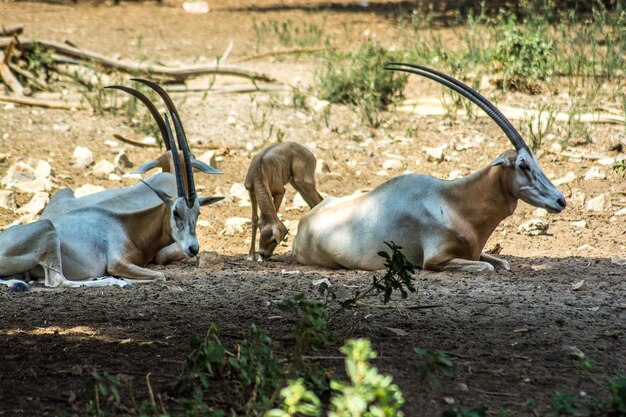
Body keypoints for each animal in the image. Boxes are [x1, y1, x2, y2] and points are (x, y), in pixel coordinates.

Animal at [292, 61, 564, 270]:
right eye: (523, 165)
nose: (560, 200)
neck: (454, 202)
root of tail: (304, 224)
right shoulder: (436, 259)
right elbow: (487, 267)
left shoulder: (475, 252)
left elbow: (502, 262)